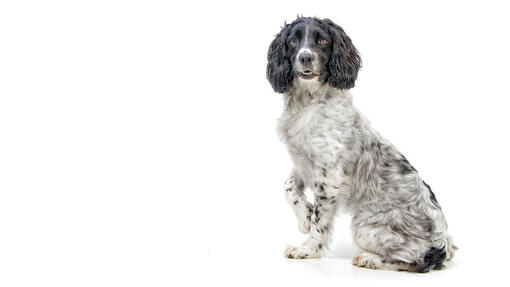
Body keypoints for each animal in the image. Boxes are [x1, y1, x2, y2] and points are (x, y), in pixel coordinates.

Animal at [264, 16, 456, 274]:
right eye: (293, 41)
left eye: (322, 41)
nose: (305, 57)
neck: (308, 104)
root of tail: (441, 244)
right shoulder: (303, 161)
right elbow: (288, 187)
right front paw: (304, 217)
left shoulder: (328, 177)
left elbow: (320, 222)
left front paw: (307, 249)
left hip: (365, 227)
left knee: (417, 260)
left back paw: (369, 259)